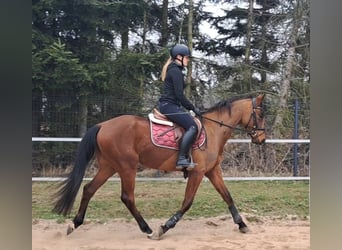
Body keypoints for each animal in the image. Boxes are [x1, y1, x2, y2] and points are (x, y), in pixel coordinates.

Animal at [52, 93, 268, 238]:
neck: (214, 129)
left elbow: (227, 196)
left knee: (89, 189)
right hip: (127, 167)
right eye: (261, 115)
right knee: (127, 197)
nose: (262, 139)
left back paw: (75, 224)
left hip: (109, 166)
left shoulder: (212, 171)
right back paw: (146, 228)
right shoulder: (197, 173)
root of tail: (103, 125)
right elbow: (187, 202)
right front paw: (165, 227)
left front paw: (242, 224)